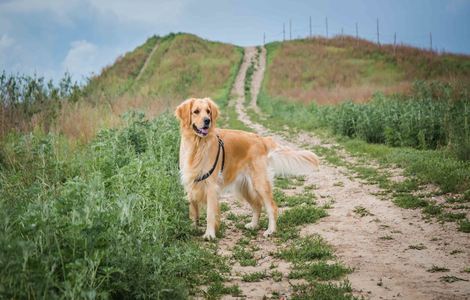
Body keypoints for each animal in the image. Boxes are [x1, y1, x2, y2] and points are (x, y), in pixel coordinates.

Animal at [176, 98, 320, 239]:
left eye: (208, 111)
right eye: (196, 111)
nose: (207, 121)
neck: (198, 144)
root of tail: (261, 139)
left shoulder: (211, 185)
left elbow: (210, 213)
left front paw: (210, 234)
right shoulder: (190, 183)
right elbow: (193, 211)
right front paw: (193, 228)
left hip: (260, 183)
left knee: (272, 207)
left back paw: (271, 230)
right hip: (243, 186)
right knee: (257, 205)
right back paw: (253, 225)